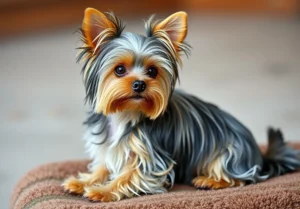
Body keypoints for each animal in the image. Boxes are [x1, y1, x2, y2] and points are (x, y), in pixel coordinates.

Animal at [62, 7, 298, 202]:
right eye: (119, 70)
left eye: (152, 71)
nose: (139, 84)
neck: (127, 113)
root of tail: (259, 156)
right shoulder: (108, 146)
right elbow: (102, 167)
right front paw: (82, 182)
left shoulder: (151, 156)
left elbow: (128, 176)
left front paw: (102, 191)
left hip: (229, 152)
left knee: (243, 177)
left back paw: (209, 181)